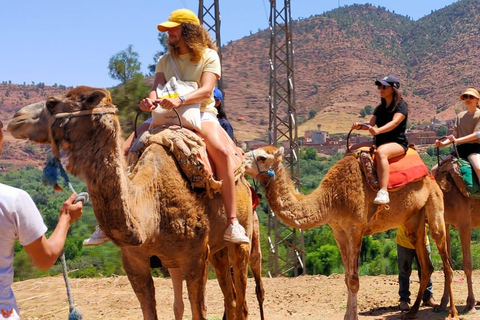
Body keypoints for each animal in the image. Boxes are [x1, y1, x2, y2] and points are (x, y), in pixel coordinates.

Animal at [5, 85, 260, 320]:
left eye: (51, 103)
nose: (15, 118)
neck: (152, 209)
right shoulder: (134, 262)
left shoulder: (195, 258)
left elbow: (199, 311)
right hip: (216, 250)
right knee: (230, 298)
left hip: (242, 237)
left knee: (241, 298)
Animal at [244, 146, 458, 320]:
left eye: (262, 157)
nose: (241, 159)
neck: (330, 198)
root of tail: (429, 174)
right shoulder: (338, 230)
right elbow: (347, 278)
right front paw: (347, 315)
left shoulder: (355, 228)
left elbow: (354, 280)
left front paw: (352, 316)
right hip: (413, 220)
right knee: (427, 265)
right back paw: (412, 312)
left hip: (435, 206)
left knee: (446, 263)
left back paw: (451, 311)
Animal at [436, 164, 480, 314]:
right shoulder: (445, 225)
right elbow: (447, 266)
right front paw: (443, 303)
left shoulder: (464, 224)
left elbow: (467, 264)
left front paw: (470, 304)